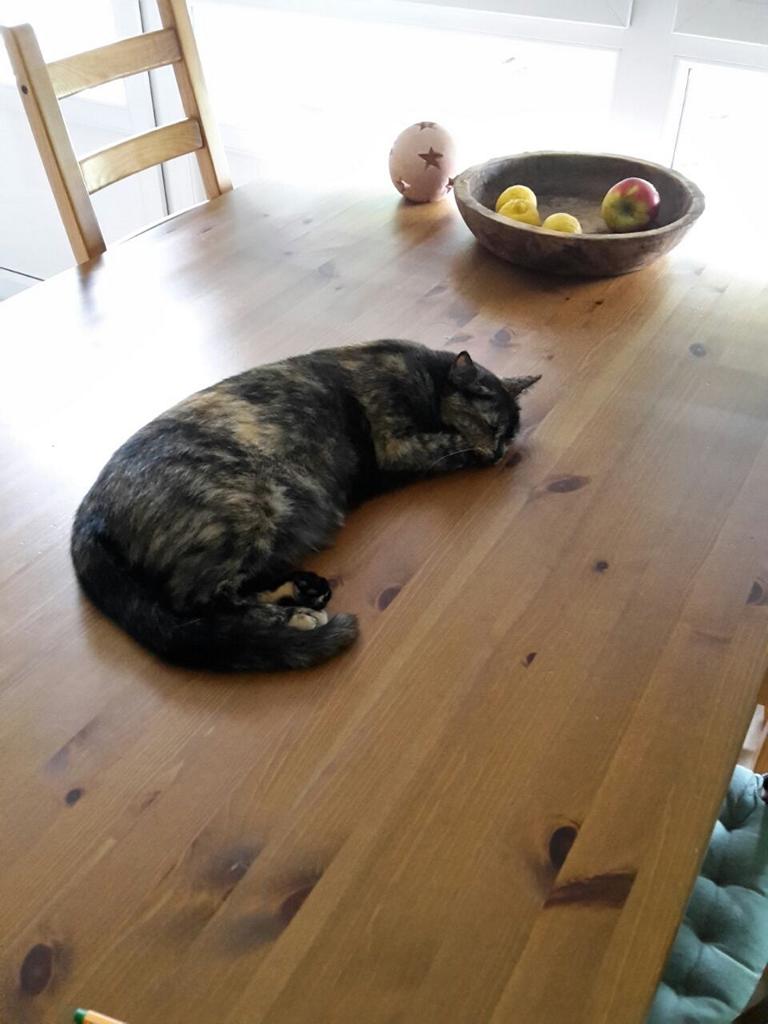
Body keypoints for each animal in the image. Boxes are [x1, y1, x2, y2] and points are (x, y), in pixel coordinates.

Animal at [71, 340, 539, 671]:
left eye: (509, 434)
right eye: (492, 426)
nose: (499, 454)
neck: (427, 374)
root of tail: (89, 511)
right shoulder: (397, 444)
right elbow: (448, 444)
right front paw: (463, 449)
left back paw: (300, 593)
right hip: (246, 507)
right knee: (193, 603)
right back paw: (296, 618)